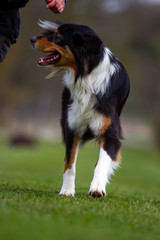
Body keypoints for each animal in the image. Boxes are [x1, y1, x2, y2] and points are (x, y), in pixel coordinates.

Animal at [31, 21, 130, 197]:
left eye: (58, 37)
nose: (31, 39)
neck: (86, 78)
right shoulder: (72, 128)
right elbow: (69, 164)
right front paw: (67, 190)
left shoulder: (110, 134)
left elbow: (102, 162)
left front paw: (97, 188)